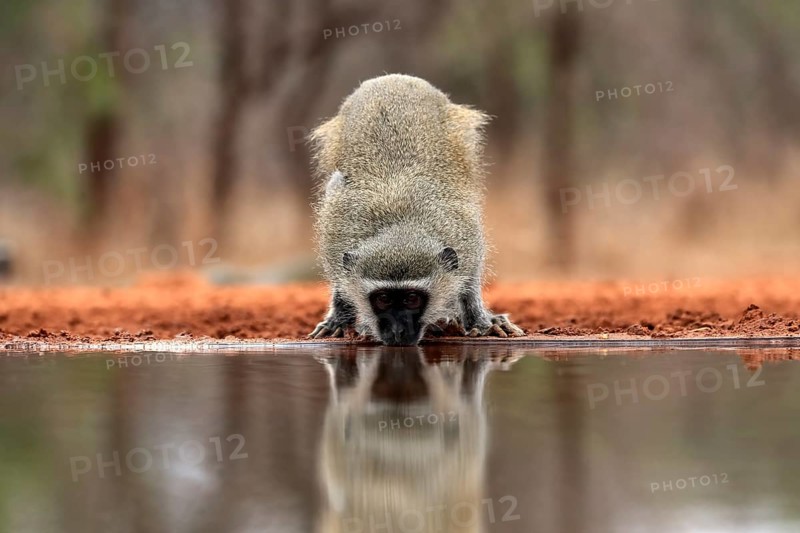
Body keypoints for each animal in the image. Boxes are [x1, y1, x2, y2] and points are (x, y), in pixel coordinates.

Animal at [308, 74, 524, 346]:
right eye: (383, 299)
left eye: (412, 299)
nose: (398, 331)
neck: (400, 226)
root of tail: (393, 78)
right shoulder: (335, 240)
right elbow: (340, 279)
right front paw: (339, 317)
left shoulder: (466, 237)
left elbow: (469, 279)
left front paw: (479, 321)